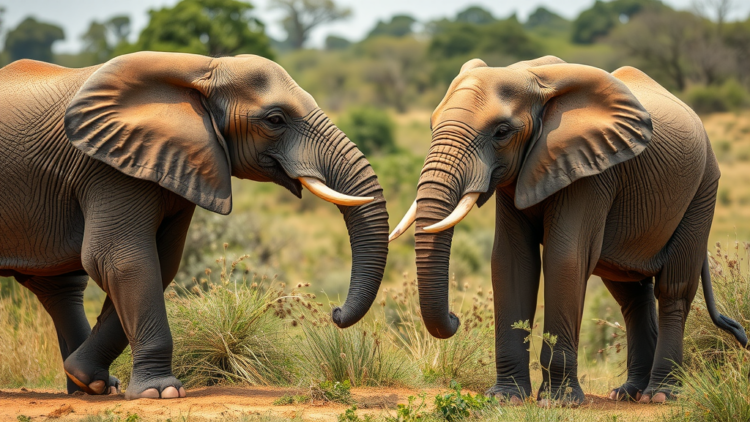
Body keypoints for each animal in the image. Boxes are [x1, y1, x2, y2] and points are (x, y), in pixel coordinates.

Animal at [0, 51, 388, 399]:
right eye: (275, 120)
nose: (335, 312)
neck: (203, 68)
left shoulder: (175, 163)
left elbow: (161, 262)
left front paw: (91, 379)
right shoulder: (106, 168)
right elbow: (119, 259)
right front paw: (161, 393)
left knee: (58, 285)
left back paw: (87, 387)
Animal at [389, 56, 747, 404]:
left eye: (502, 132)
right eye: (432, 125)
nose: (455, 317)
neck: (534, 78)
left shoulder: (590, 172)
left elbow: (565, 259)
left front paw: (559, 401)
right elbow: (511, 261)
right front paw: (506, 398)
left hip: (703, 187)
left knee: (674, 289)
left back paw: (660, 394)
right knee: (631, 293)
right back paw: (627, 393)